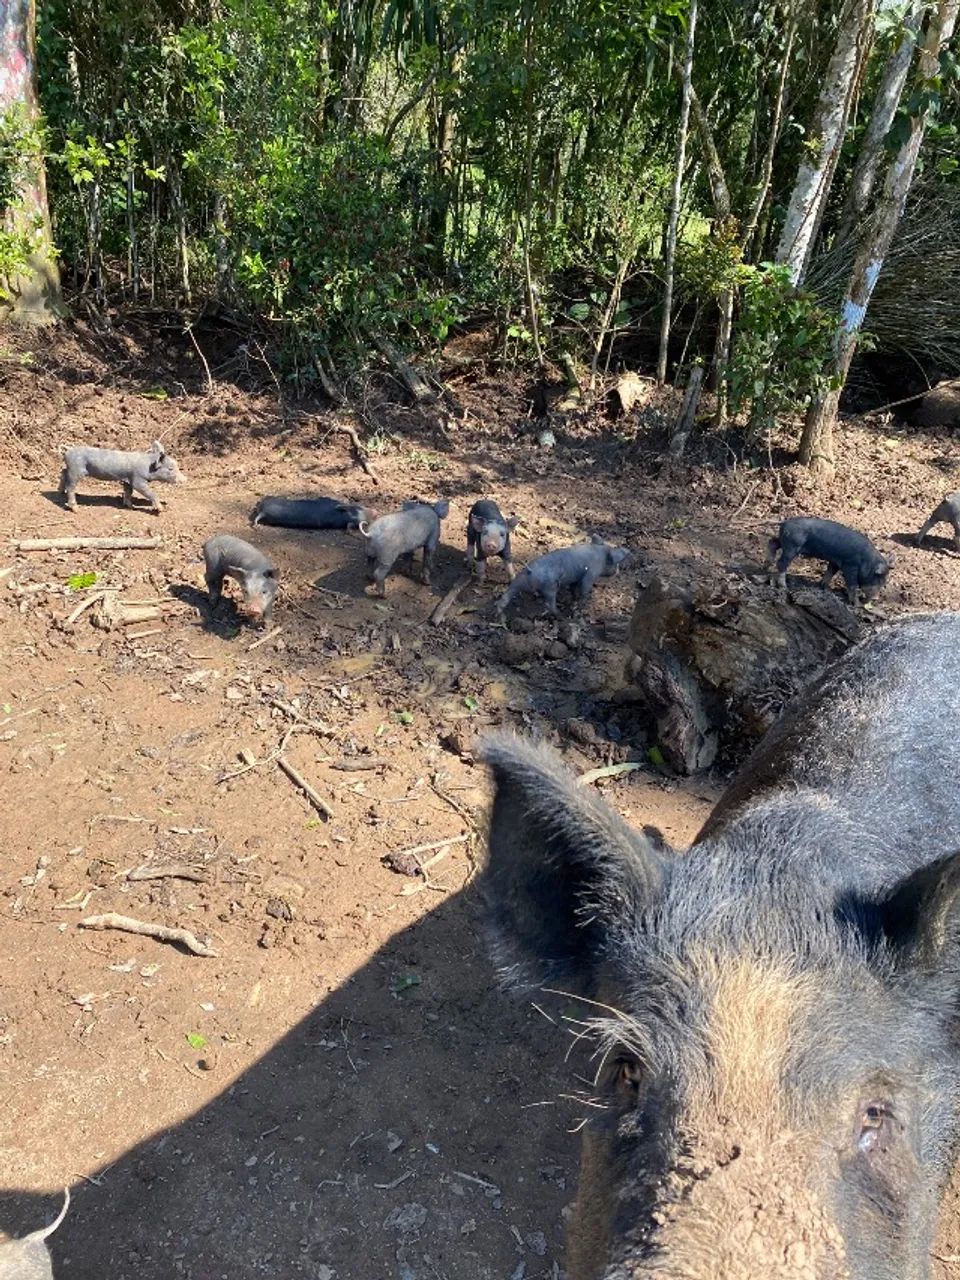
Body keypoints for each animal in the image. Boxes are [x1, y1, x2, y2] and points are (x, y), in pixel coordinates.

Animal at [495, 537, 630, 616]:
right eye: (615, 563)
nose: (618, 571)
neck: (601, 556)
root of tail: (530, 571)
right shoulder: (590, 574)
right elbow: (585, 589)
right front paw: (579, 606)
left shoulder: (575, 579)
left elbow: (573, 588)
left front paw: (573, 599)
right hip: (550, 587)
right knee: (550, 604)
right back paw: (559, 614)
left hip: (518, 581)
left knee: (506, 596)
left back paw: (497, 614)